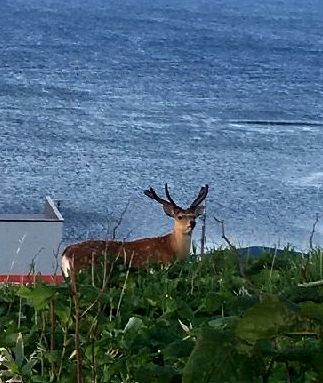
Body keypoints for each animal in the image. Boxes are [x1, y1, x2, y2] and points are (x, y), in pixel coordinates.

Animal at [61, 184, 209, 278]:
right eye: (180, 216)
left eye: (194, 216)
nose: (192, 223)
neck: (173, 248)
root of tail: (66, 254)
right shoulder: (161, 267)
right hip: (84, 271)